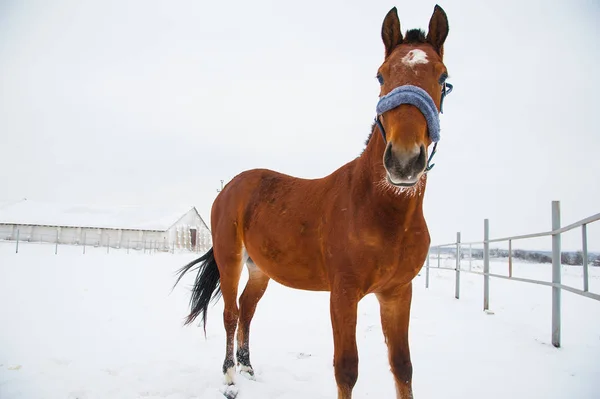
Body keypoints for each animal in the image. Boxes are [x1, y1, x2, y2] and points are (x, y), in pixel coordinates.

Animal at [176, 4, 452, 398]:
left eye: (442, 78)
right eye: (381, 76)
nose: (403, 160)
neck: (380, 212)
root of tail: (231, 187)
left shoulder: (398, 294)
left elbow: (403, 367)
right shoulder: (343, 295)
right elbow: (347, 369)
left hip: (260, 269)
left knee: (246, 309)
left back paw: (247, 367)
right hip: (230, 258)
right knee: (230, 314)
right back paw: (230, 377)